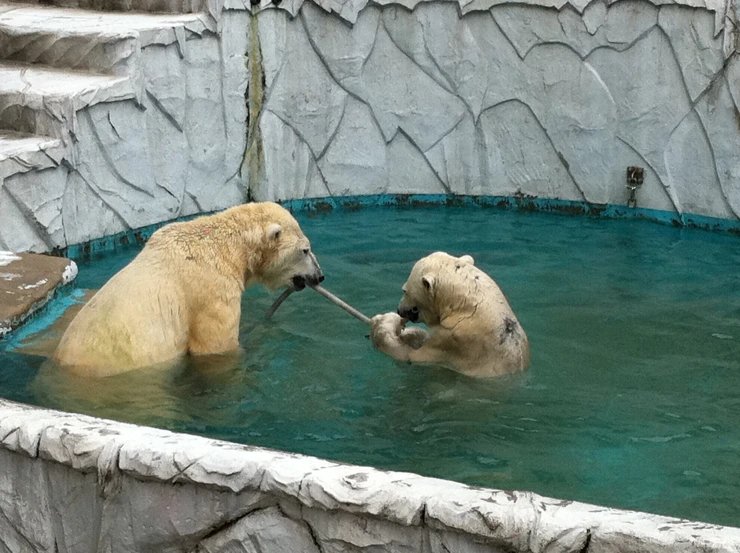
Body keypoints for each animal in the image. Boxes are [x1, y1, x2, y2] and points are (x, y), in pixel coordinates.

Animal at [372, 252, 528, 378]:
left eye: (404, 290)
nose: (399, 310)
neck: (465, 304)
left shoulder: (454, 339)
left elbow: (409, 355)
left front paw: (382, 326)